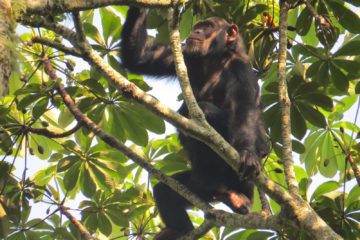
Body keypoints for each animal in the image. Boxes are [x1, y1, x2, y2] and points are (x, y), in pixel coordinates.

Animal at [121, 6, 270, 239]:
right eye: (198, 26)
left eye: (208, 26)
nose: (196, 31)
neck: (215, 60)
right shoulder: (184, 56)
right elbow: (139, 57)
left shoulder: (241, 70)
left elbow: (244, 111)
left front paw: (247, 153)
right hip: (197, 186)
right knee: (165, 192)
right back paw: (179, 228)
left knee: (207, 113)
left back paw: (241, 198)